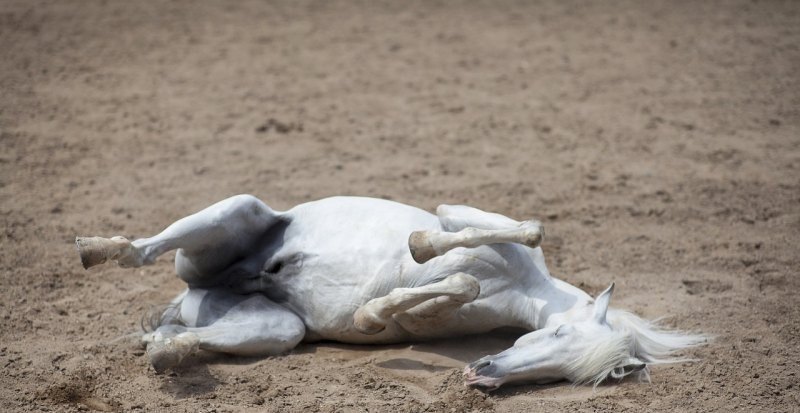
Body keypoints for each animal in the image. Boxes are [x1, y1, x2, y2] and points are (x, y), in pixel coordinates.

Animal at [73, 196, 700, 390]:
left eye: (568, 376)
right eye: (560, 331)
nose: (485, 374)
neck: (528, 289)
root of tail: (202, 288)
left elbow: (456, 286)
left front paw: (373, 314)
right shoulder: (461, 215)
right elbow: (511, 235)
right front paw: (418, 250)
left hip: (273, 329)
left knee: (183, 337)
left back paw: (167, 351)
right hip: (234, 213)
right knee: (139, 252)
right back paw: (93, 248)